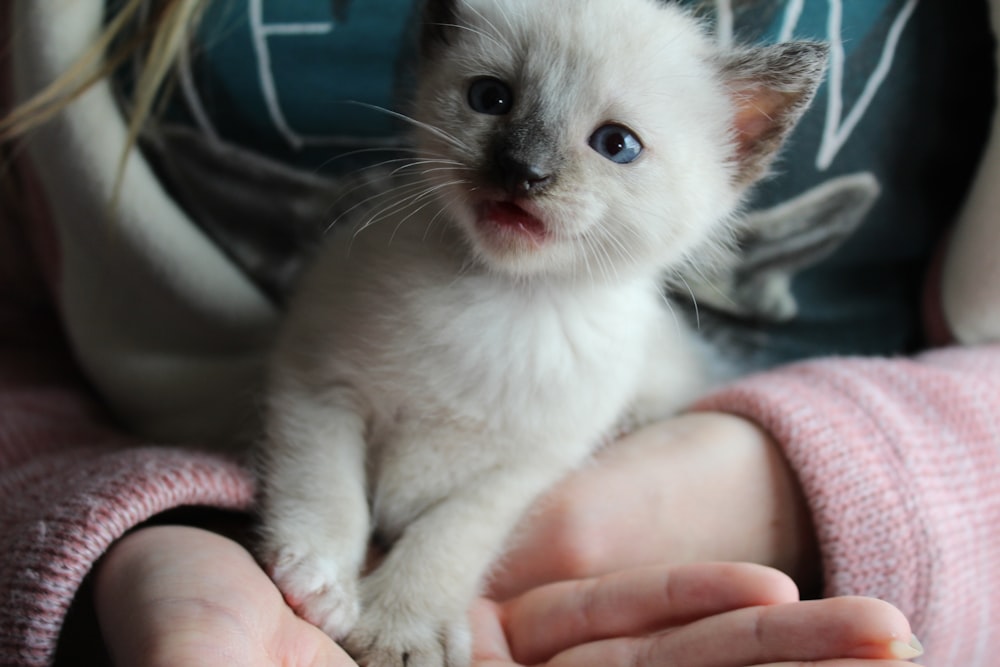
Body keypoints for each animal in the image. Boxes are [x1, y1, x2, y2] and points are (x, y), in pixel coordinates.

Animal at [258, 1, 828, 667]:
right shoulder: (315, 381)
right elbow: (325, 483)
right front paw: (319, 580)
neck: (504, 298)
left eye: (617, 145)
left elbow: (448, 539)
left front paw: (401, 628)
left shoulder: (524, 469)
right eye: (491, 97)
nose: (521, 171)